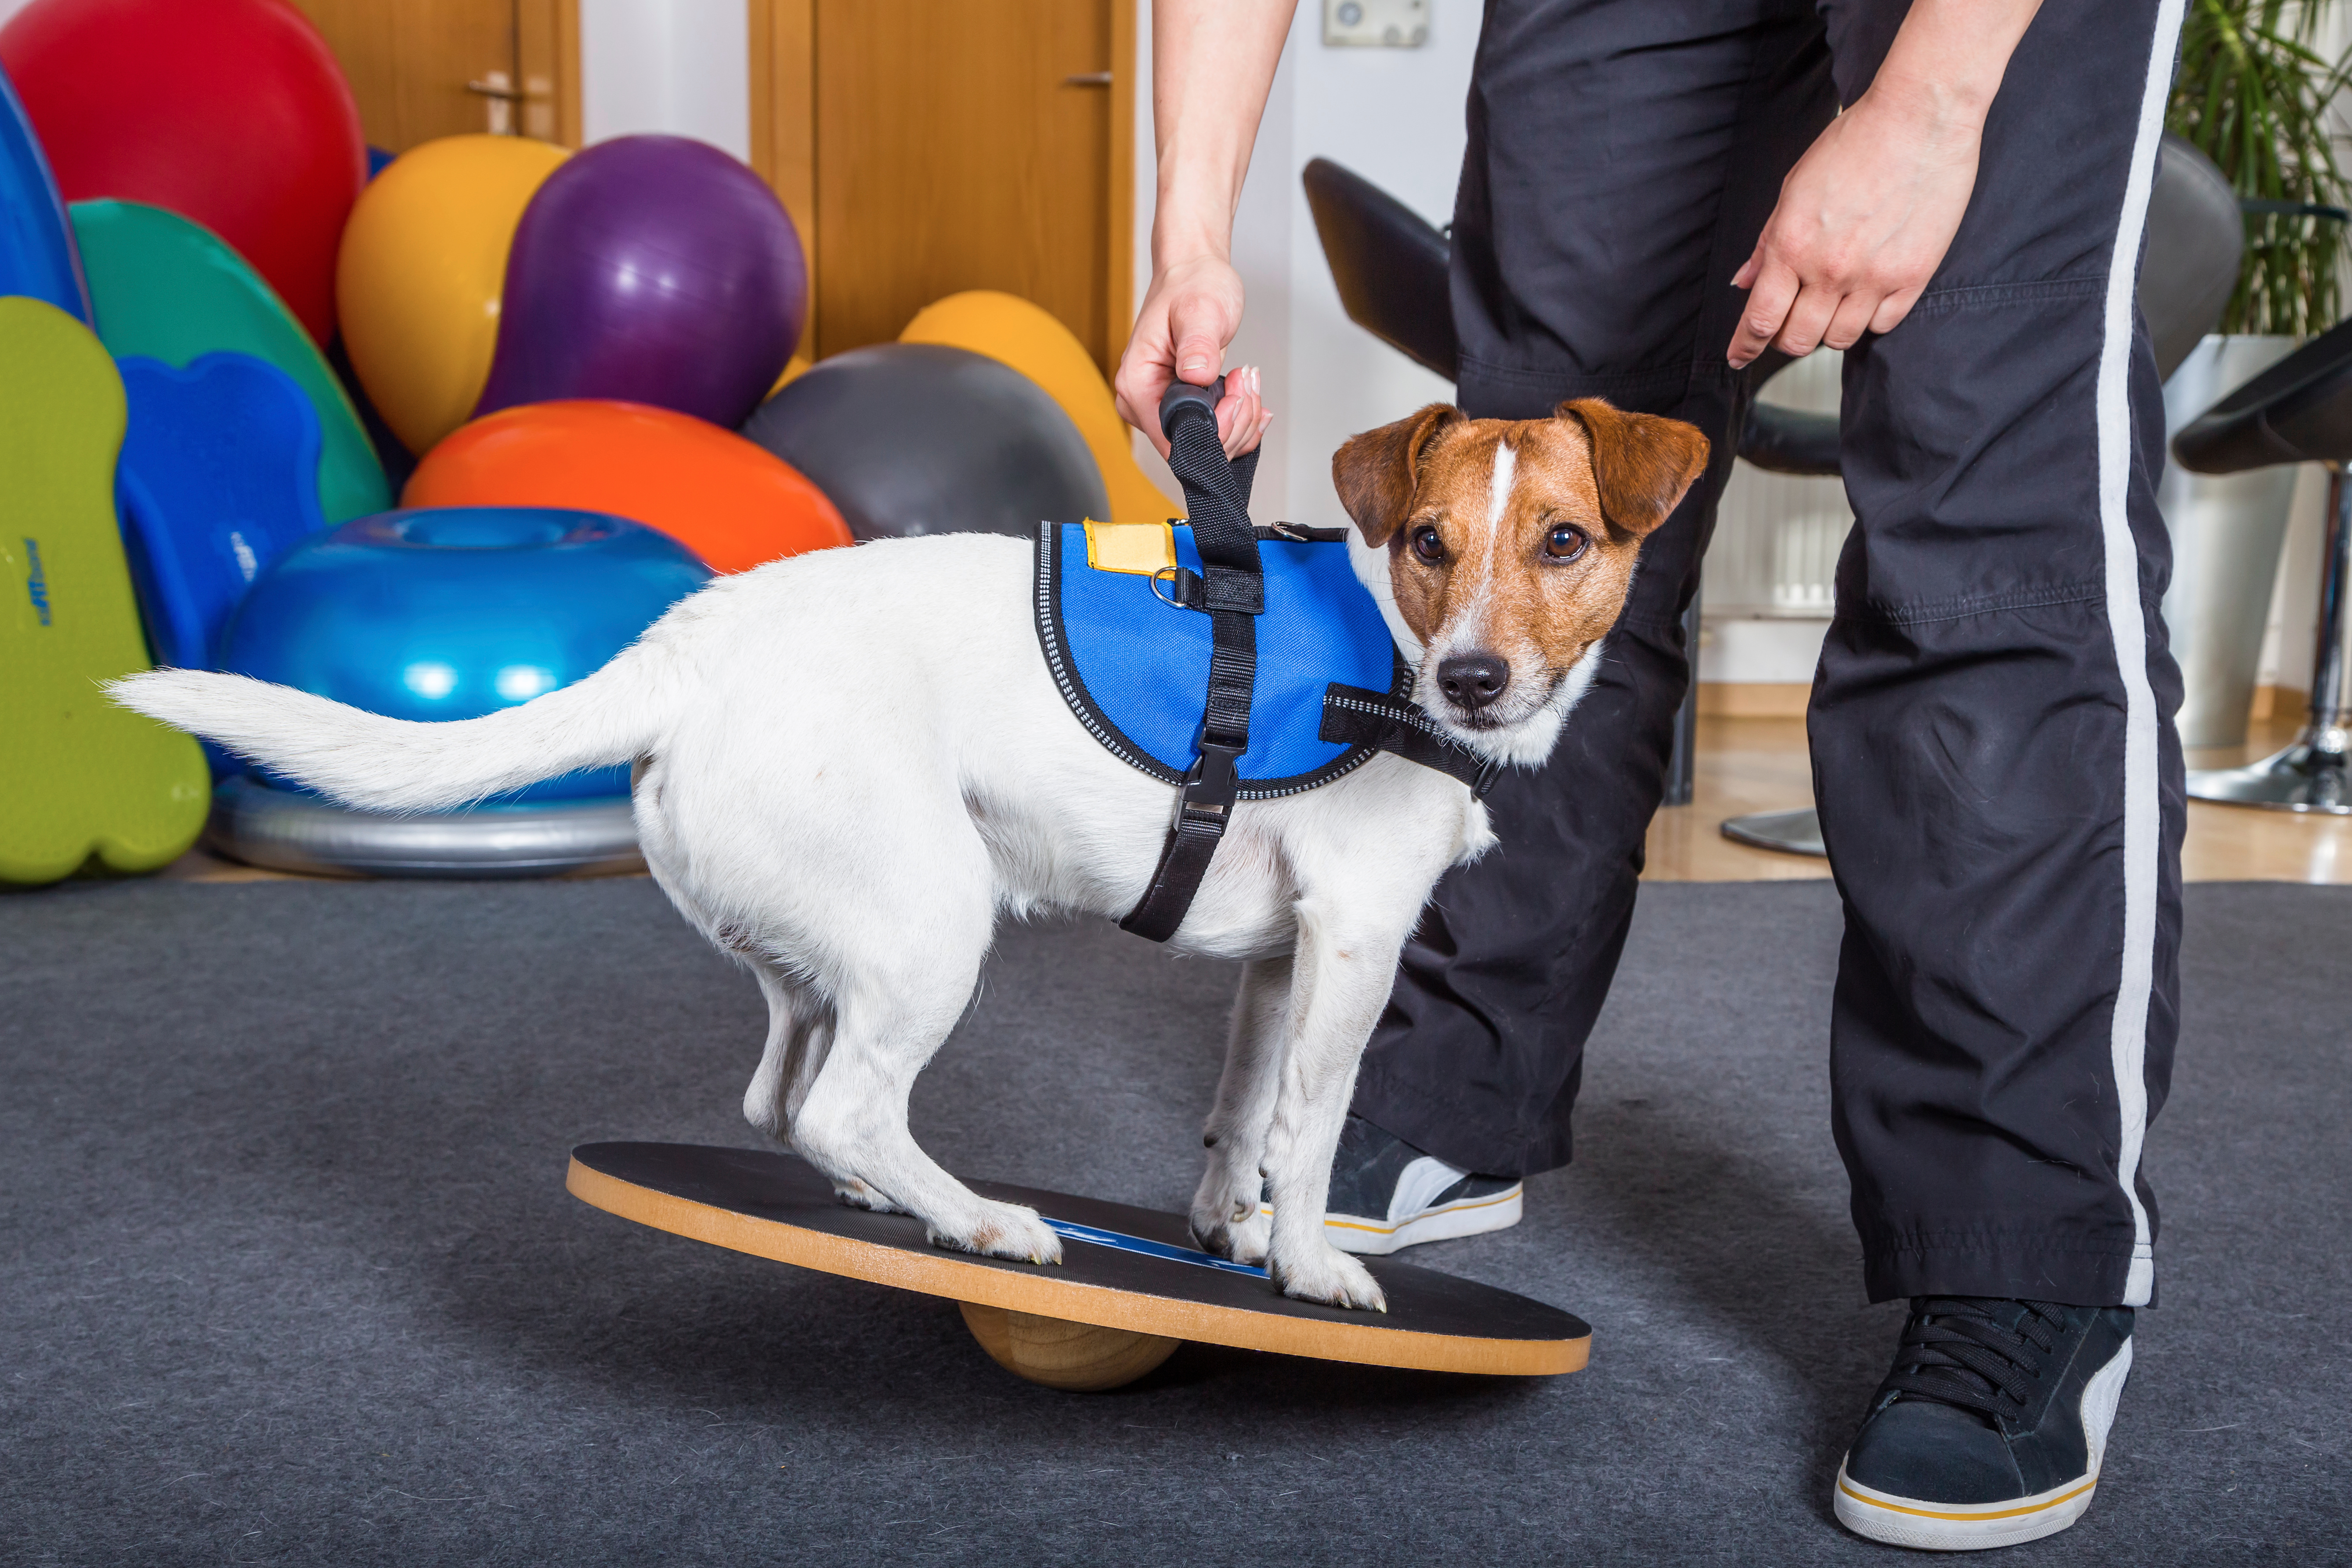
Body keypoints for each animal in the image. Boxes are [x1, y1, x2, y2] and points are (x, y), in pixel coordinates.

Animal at [115, 395, 1712, 1316]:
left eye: (1563, 541)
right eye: (1430, 542)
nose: (1471, 683)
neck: (1385, 651)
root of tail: (686, 644)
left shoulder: (1279, 964)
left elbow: (1240, 1116)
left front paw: (1225, 1229)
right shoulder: (1357, 940)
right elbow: (1309, 1133)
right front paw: (1312, 1263)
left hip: (821, 953)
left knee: (787, 1099)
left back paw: (902, 1201)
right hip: (935, 925)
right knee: (840, 1109)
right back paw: (985, 1221)